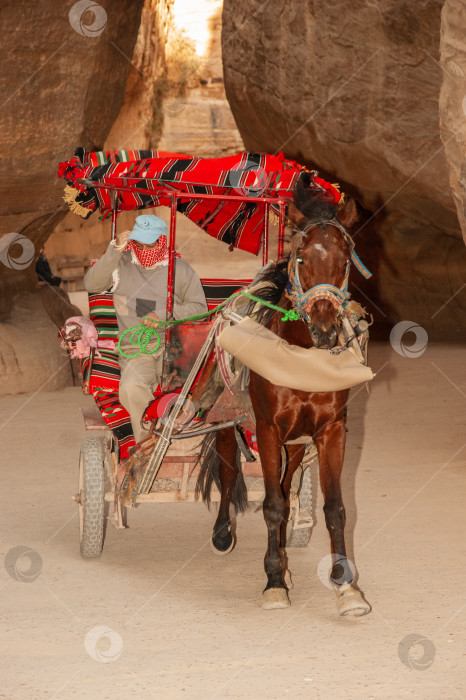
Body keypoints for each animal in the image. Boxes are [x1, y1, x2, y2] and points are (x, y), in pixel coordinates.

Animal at [196, 172, 372, 616]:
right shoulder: (268, 428)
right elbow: (272, 505)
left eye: (346, 259)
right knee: (229, 475)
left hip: (294, 443)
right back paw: (224, 534)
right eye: (300, 257)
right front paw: (273, 580)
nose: (325, 328)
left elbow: (334, 508)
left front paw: (346, 585)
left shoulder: (330, 430)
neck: (301, 355)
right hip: (229, 423)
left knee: (286, 486)